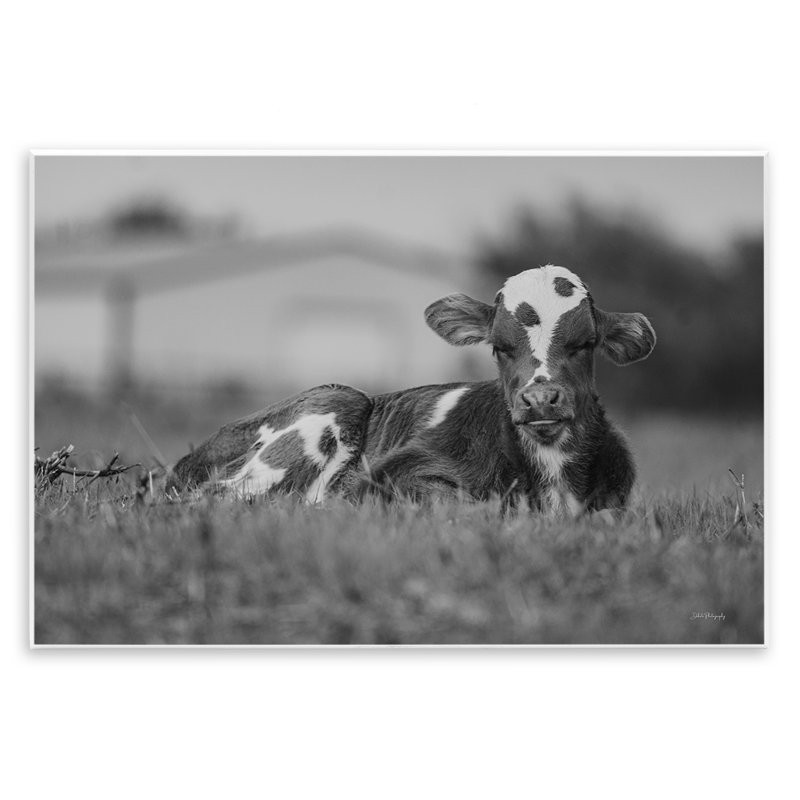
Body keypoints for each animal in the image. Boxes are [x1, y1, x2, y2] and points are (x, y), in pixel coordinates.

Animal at [168, 265, 656, 515]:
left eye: (585, 343)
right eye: (499, 346)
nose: (540, 399)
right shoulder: (396, 471)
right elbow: (462, 505)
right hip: (336, 401)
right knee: (213, 497)